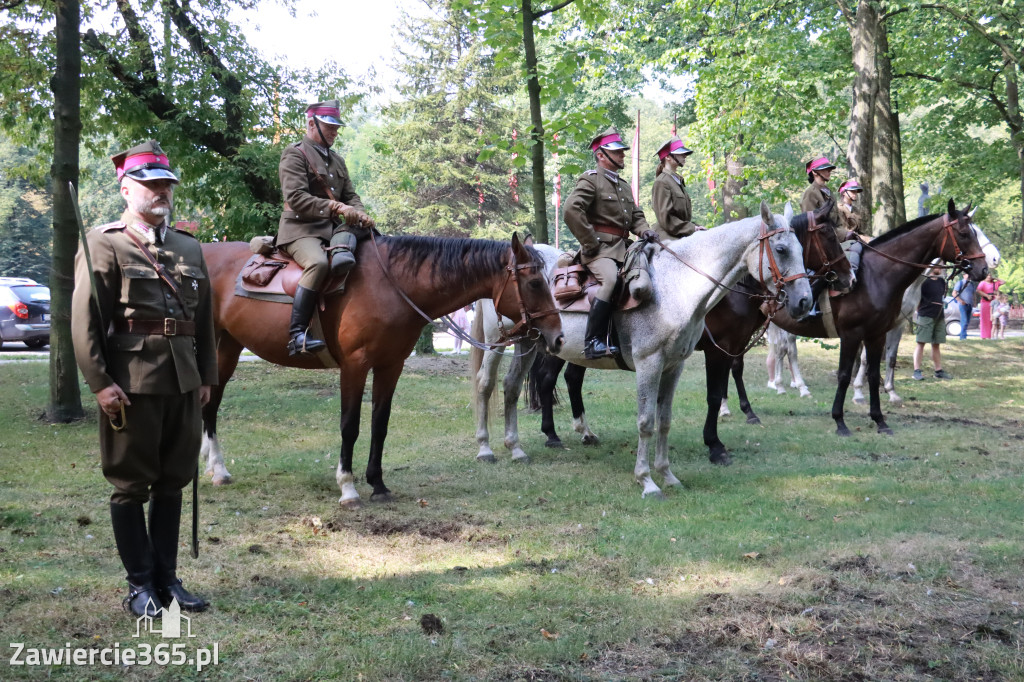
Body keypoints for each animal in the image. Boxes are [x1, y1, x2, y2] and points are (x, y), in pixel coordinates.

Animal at [200, 233, 565, 503]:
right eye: (535, 283)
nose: (558, 336)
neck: (391, 286)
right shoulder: (355, 366)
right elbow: (350, 425)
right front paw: (348, 487)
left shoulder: (391, 365)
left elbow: (380, 423)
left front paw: (377, 484)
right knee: (209, 404)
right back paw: (217, 468)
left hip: (228, 346)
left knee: (210, 403)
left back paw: (213, 466)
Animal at [528, 200, 847, 462]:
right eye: (781, 249)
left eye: (801, 249)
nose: (804, 301)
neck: (679, 284)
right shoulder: (716, 350)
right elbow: (714, 394)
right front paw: (716, 445)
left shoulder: (721, 348)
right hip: (558, 347)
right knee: (546, 379)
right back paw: (552, 435)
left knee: (571, 379)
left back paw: (584, 432)